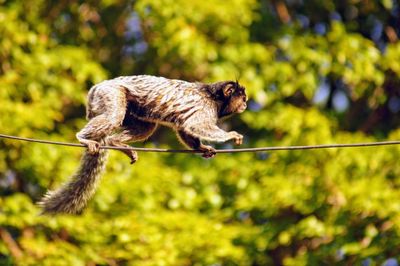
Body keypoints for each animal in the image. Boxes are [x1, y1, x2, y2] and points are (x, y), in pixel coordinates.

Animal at [39, 74, 248, 214]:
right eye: (242, 98)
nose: (246, 105)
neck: (214, 97)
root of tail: (98, 86)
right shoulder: (205, 108)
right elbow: (194, 125)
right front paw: (230, 135)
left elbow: (185, 128)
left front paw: (202, 147)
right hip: (111, 93)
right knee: (114, 116)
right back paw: (83, 138)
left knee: (145, 126)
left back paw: (116, 142)